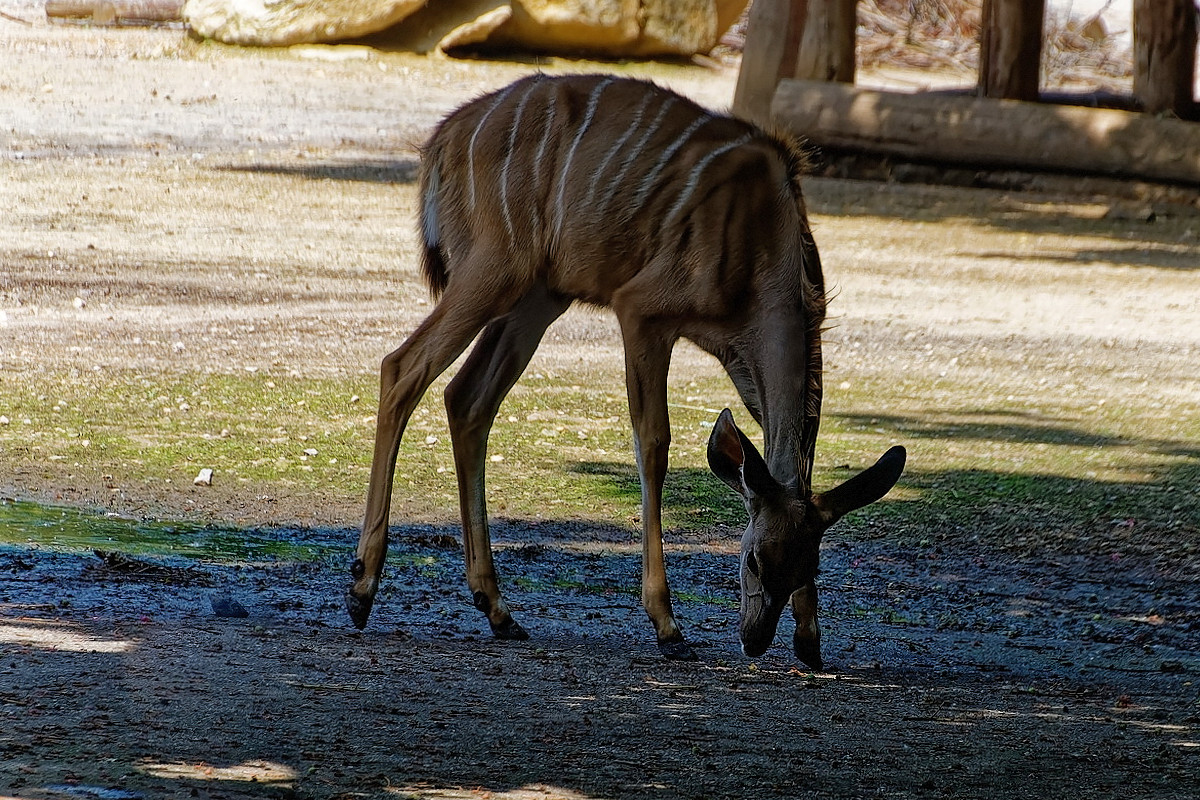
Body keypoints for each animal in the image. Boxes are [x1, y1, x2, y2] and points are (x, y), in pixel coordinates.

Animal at [343, 73, 902, 662]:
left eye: (805, 567)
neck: (762, 250)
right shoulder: (643, 311)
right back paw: (361, 589)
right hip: (495, 269)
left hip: (541, 293)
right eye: (752, 558)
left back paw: (498, 610)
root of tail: (443, 139)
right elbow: (653, 443)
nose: (754, 639)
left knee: (467, 399)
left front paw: (810, 637)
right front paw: (668, 625)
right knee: (402, 367)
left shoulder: (744, 366)